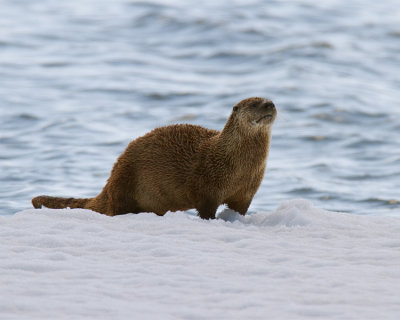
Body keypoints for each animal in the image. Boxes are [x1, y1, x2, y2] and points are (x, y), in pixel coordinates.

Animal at [32, 96, 276, 219]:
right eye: (255, 103)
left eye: (269, 100)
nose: (270, 104)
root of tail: (109, 183)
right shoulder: (206, 186)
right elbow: (206, 209)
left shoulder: (246, 192)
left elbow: (239, 209)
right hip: (126, 182)